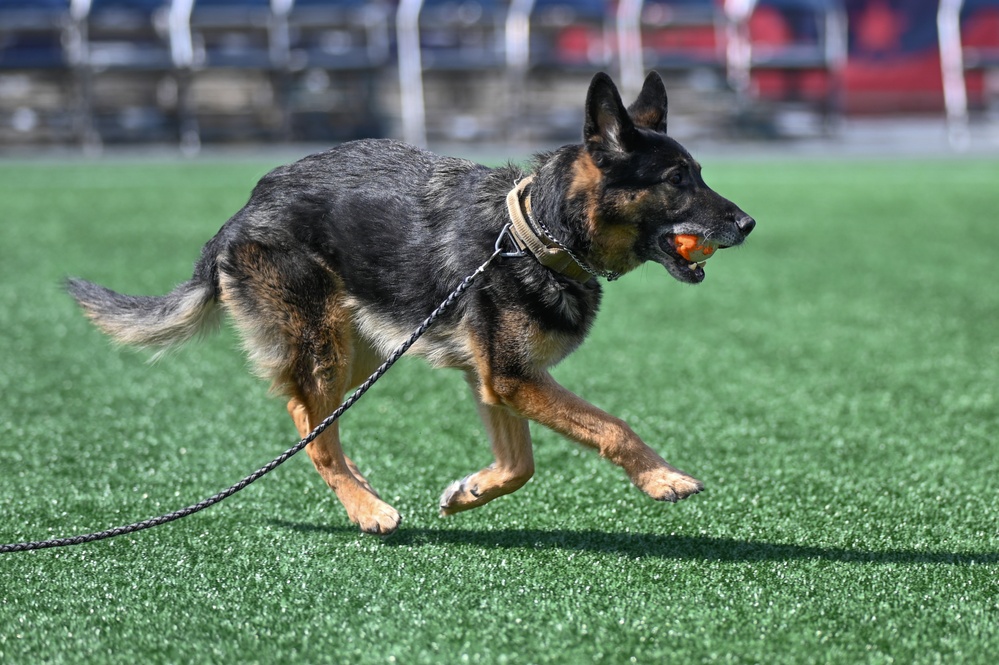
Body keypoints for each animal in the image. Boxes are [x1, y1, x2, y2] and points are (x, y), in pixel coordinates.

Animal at [70, 72, 752, 536]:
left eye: (698, 172)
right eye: (676, 180)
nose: (747, 224)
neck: (538, 233)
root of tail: (242, 212)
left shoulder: (496, 380)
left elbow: (520, 465)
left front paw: (469, 492)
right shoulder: (512, 377)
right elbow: (612, 426)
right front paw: (663, 478)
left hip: (361, 351)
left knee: (308, 417)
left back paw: (361, 485)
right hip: (326, 344)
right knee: (313, 433)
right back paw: (367, 508)